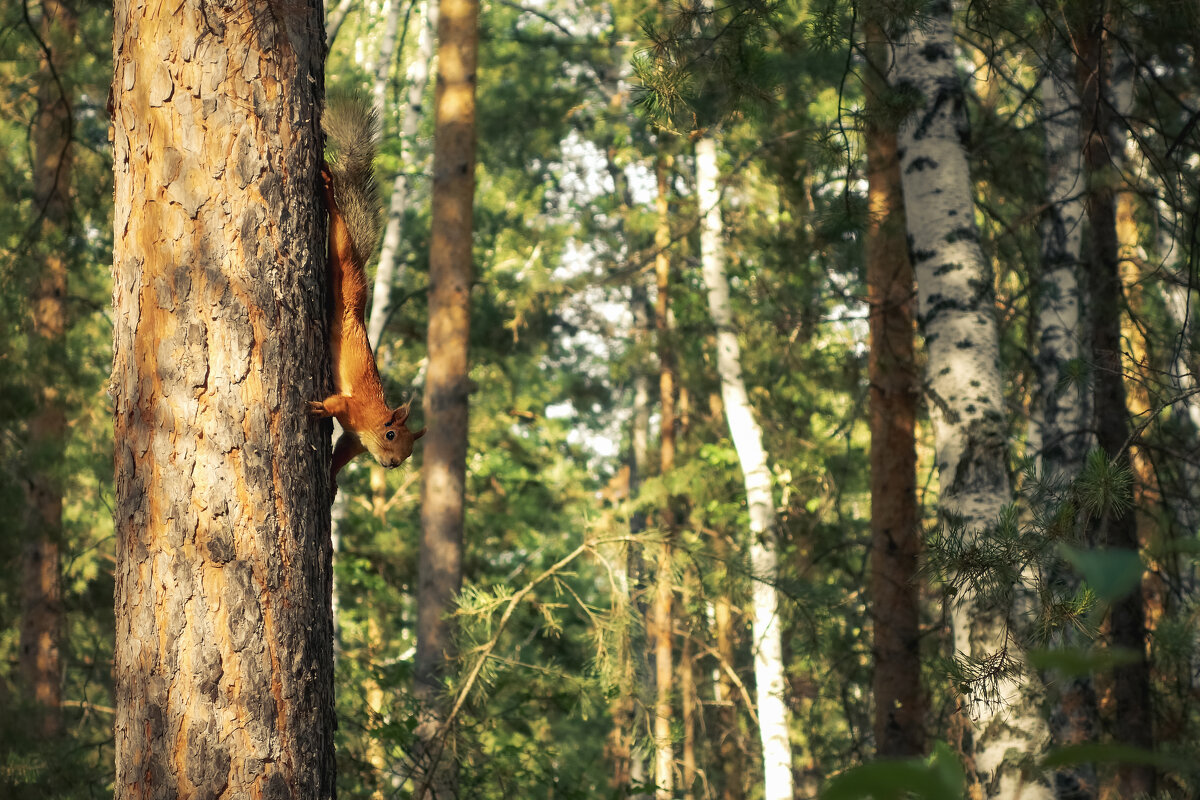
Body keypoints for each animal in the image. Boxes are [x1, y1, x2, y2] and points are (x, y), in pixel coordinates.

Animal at [309, 95, 427, 489]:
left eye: (409, 453)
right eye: (391, 434)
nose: (391, 464)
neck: (374, 422)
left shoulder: (352, 441)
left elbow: (339, 457)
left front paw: (331, 482)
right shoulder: (353, 410)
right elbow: (337, 405)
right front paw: (319, 407)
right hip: (345, 272)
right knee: (341, 240)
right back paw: (330, 195)